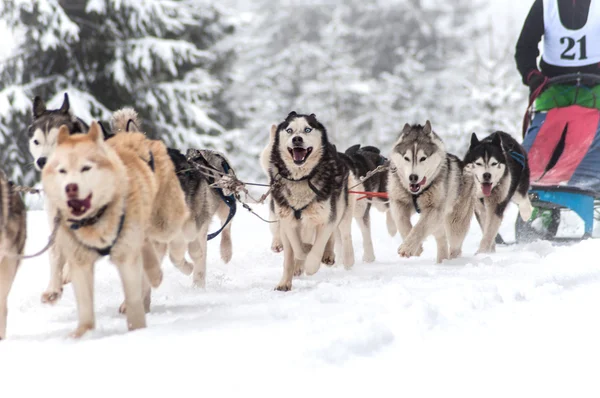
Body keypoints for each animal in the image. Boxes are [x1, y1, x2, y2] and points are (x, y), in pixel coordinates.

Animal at [41, 123, 162, 338]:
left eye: (86, 168)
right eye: (62, 171)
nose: (70, 188)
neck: (94, 220)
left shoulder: (126, 255)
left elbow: (134, 299)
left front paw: (137, 331)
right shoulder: (78, 258)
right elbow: (84, 305)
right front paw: (82, 333)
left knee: (147, 250)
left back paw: (155, 275)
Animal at [268, 110, 356, 290]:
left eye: (307, 129)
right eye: (289, 130)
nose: (297, 139)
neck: (301, 179)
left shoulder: (326, 218)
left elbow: (318, 246)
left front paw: (311, 264)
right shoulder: (288, 220)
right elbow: (296, 249)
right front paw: (285, 281)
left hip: (340, 210)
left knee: (339, 234)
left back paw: (334, 256)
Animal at [386, 121, 476, 264]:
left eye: (423, 158)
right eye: (406, 158)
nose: (413, 177)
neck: (416, 193)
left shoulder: (434, 209)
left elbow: (419, 227)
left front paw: (407, 248)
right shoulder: (398, 202)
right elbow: (402, 224)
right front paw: (416, 248)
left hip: (455, 224)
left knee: (455, 245)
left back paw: (453, 261)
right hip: (440, 223)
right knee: (441, 238)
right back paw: (442, 260)